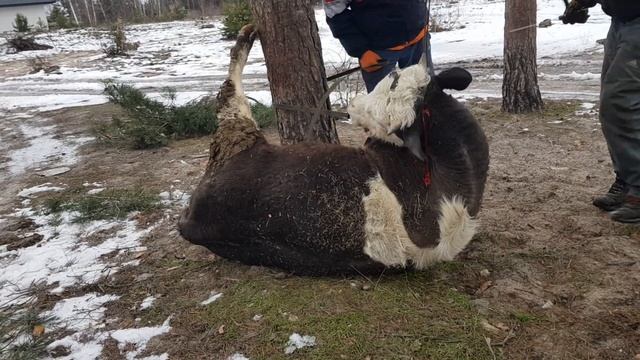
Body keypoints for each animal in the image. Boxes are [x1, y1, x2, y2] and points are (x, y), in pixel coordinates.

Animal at [178, 25, 488, 276]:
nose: (354, 106)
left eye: (394, 80)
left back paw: (247, 34)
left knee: (229, 91)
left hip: (237, 130)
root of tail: (193, 222)